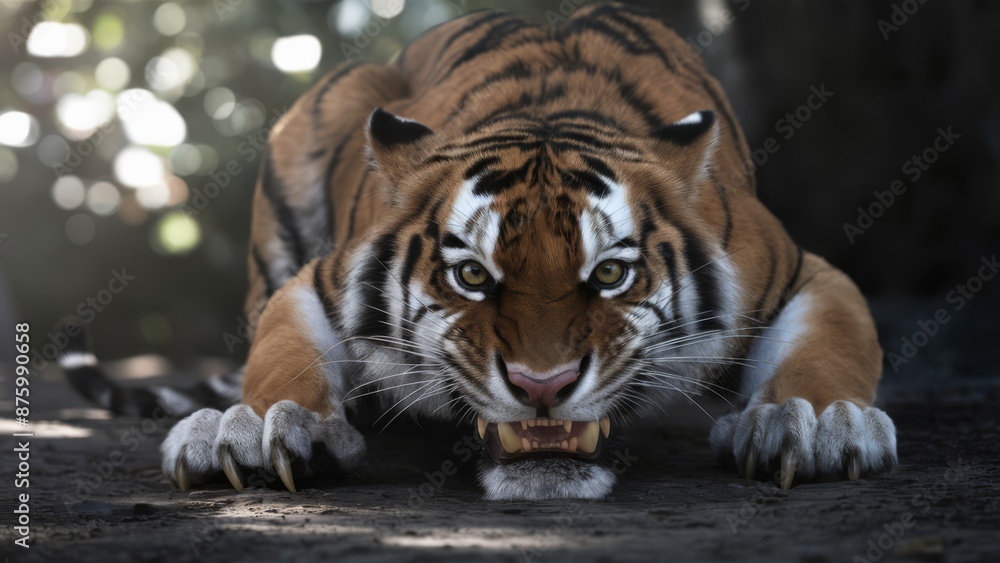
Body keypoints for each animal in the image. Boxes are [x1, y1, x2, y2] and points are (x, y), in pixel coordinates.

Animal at [64, 2, 897, 500]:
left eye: (609, 274)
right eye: (471, 275)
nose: (541, 385)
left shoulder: (797, 268)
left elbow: (829, 344)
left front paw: (817, 421)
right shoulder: (321, 277)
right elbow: (280, 349)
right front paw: (256, 424)